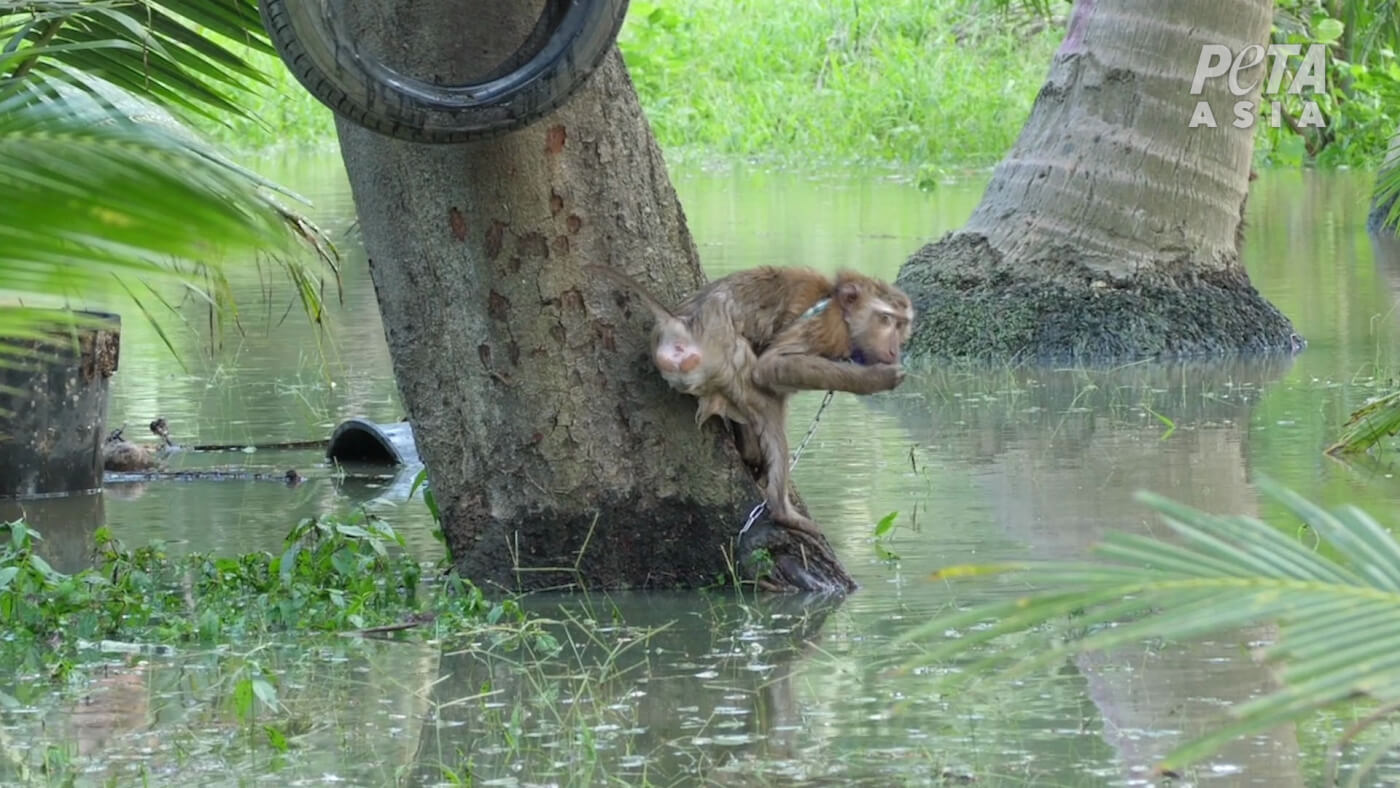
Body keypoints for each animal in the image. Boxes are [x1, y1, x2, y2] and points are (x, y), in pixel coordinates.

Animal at [582, 264, 918, 537]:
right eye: (885, 319)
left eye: (901, 324)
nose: (895, 348)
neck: (838, 306)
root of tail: (682, 322)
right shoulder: (826, 327)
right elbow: (769, 368)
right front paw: (875, 379)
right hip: (722, 355)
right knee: (763, 396)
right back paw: (783, 512)